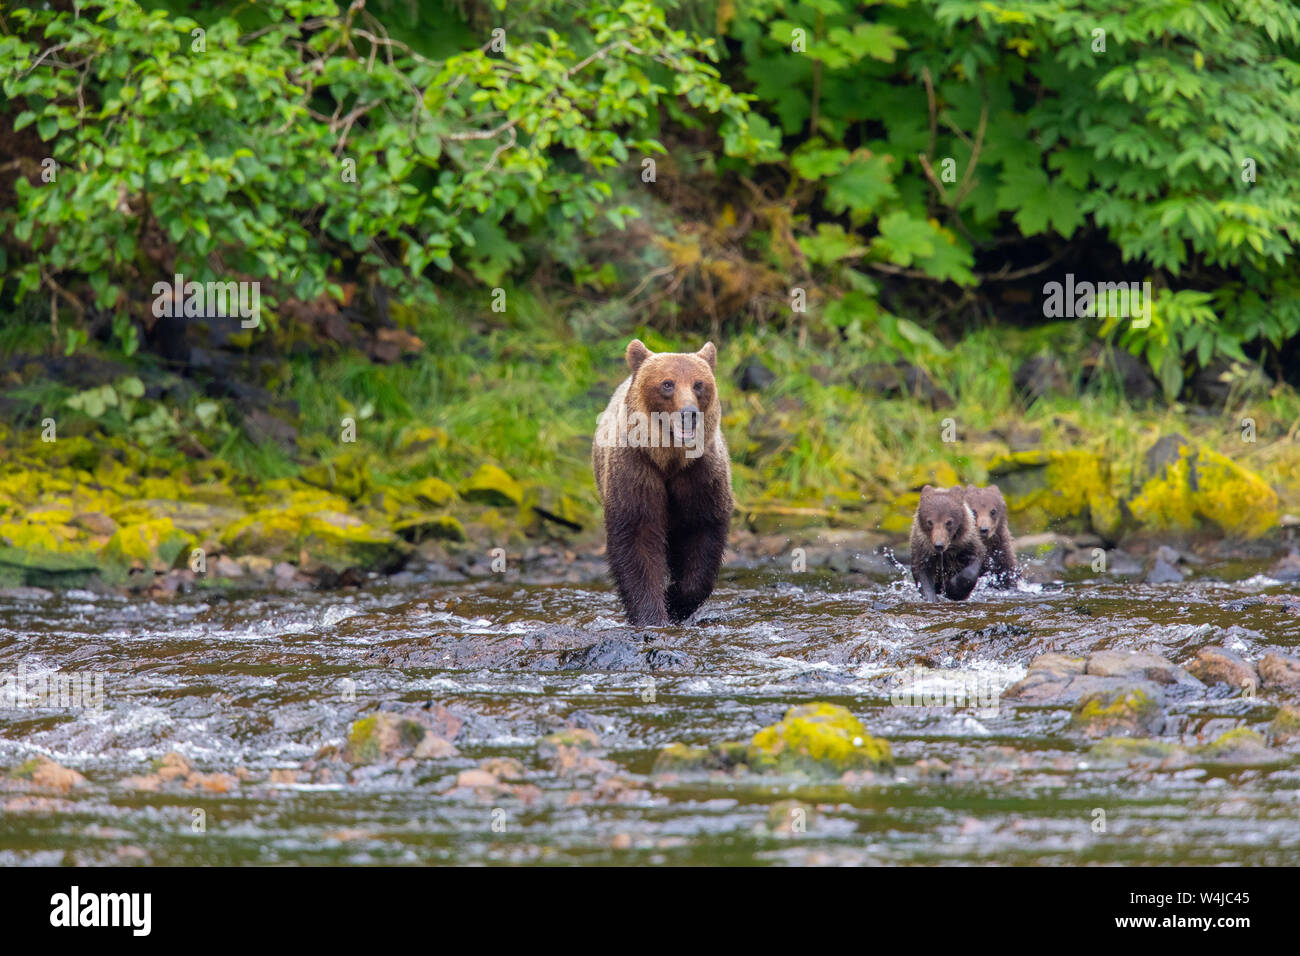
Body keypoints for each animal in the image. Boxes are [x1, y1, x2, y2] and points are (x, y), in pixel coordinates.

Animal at [592, 340, 733, 624]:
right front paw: (652, 615)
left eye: (698, 384)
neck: (669, 459)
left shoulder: (700, 473)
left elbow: (702, 530)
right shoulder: (637, 467)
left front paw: (677, 600)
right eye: (667, 383)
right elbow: (637, 537)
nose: (688, 413)